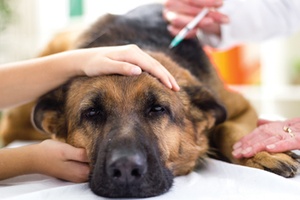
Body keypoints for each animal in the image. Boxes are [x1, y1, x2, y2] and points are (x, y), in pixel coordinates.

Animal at [0, 3, 298, 198]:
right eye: (92, 113)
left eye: (158, 109)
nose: (125, 169)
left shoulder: (240, 107)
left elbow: (227, 127)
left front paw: (261, 153)